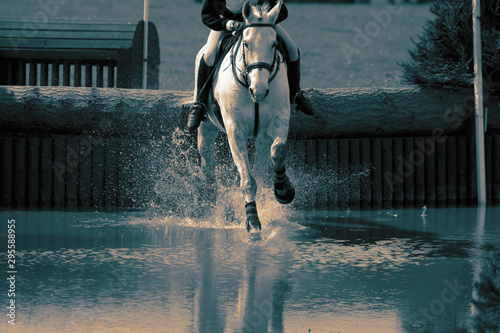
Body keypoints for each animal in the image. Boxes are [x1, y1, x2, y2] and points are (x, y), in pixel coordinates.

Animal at [192, 0, 292, 232]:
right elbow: (248, 179)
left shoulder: (280, 120)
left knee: (265, 163)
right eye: (246, 44)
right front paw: (252, 221)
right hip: (207, 126)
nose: (260, 90)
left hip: (261, 137)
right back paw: (211, 200)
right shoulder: (234, 129)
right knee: (207, 160)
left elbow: (278, 151)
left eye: (274, 44)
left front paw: (283, 190)